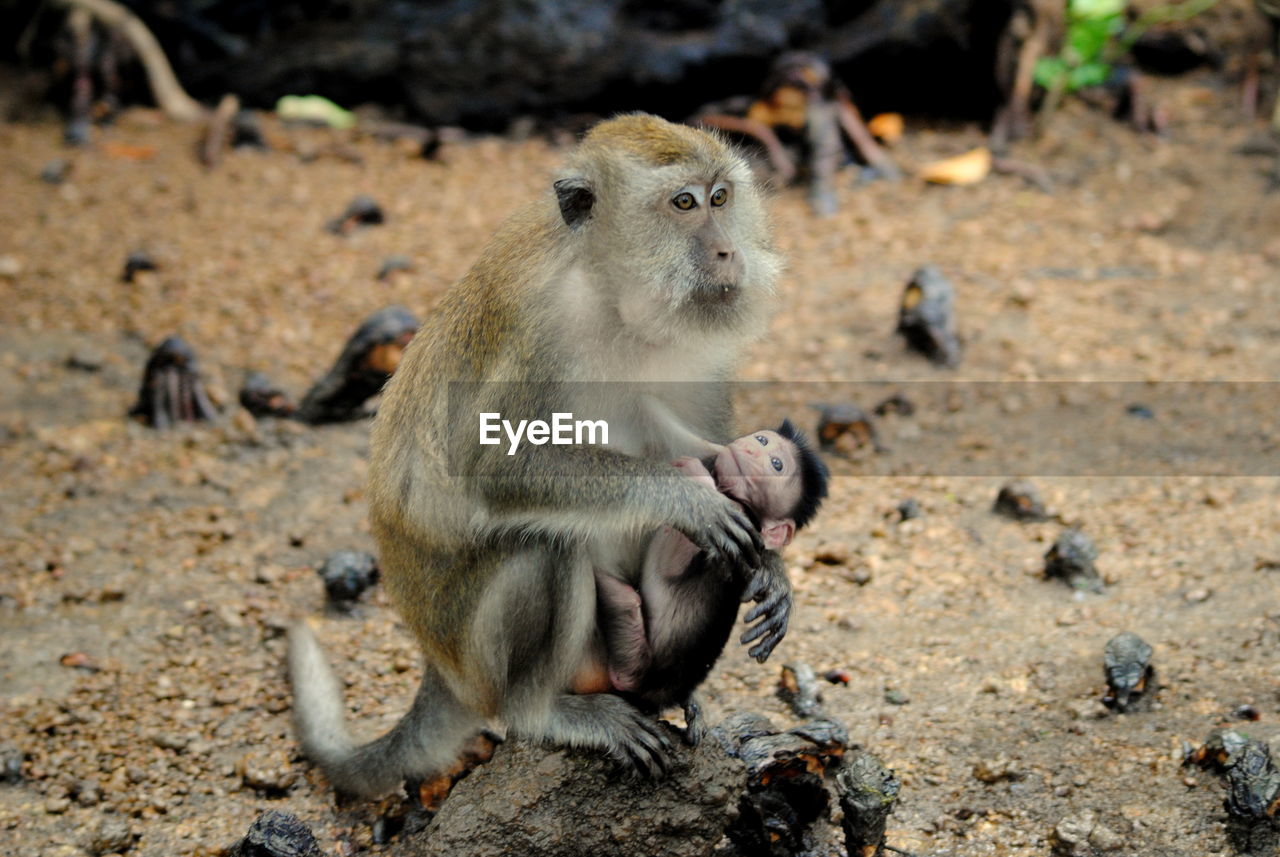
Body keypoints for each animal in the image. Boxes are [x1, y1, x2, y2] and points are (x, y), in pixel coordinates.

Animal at [290, 112, 788, 798]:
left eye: (720, 198)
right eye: (683, 204)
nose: (725, 252)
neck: (614, 297)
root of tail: (439, 666)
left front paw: (771, 562)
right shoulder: (539, 331)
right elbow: (492, 469)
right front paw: (687, 499)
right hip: (479, 657)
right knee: (545, 547)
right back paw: (548, 712)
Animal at [578, 419, 829, 736]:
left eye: (776, 464)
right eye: (761, 440)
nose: (748, 448)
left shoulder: (733, 522)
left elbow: (673, 560)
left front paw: (692, 469)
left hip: (634, 662)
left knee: (624, 601)